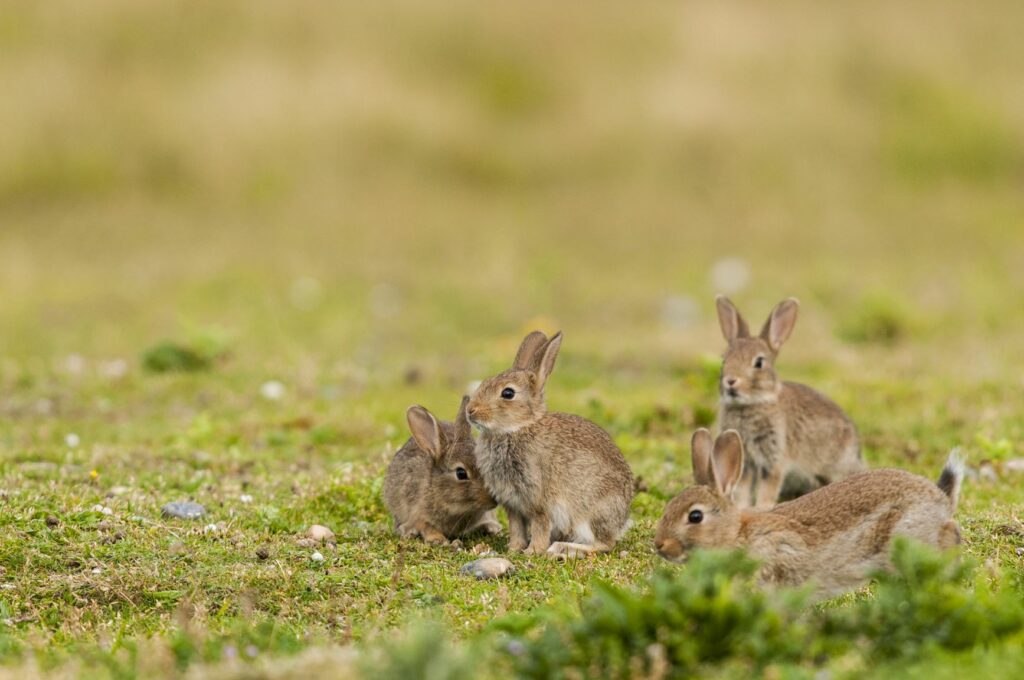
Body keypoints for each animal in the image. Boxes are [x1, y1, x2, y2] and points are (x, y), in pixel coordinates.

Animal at [466, 330, 634, 559]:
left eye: (508, 393)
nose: (470, 410)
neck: (516, 428)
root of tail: (622, 521)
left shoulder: (539, 501)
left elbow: (540, 525)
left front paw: (532, 551)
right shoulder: (513, 505)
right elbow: (516, 528)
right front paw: (513, 549)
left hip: (590, 514)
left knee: (604, 544)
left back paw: (562, 548)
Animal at [715, 295, 863, 508]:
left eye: (759, 363)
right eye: (724, 360)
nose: (731, 381)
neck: (751, 404)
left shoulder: (774, 460)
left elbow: (768, 490)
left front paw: (761, 508)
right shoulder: (746, 463)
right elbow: (742, 490)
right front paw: (742, 507)